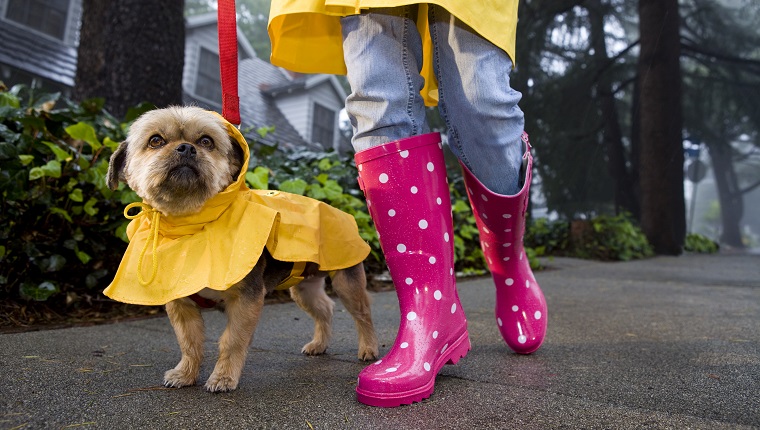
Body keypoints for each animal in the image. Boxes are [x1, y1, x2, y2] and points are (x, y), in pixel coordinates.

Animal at [105, 106, 378, 392]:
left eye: (206, 141)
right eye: (155, 140)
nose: (186, 148)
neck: (190, 224)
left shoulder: (246, 299)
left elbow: (232, 340)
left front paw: (223, 377)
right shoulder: (180, 304)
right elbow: (189, 342)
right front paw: (185, 373)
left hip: (347, 282)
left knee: (363, 313)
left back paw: (369, 349)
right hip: (304, 288)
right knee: (325, 308)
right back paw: (319, 344)